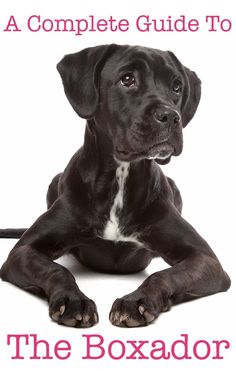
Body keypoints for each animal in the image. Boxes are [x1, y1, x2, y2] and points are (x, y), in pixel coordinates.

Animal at [0, 44, 230, 328]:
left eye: (176, 86)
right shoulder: (23, 251)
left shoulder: (205, 259)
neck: (121, 178)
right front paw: (73, 300)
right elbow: (56, 269)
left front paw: (136, 301)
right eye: (127, 79)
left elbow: (164, 274)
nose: (170, 116)